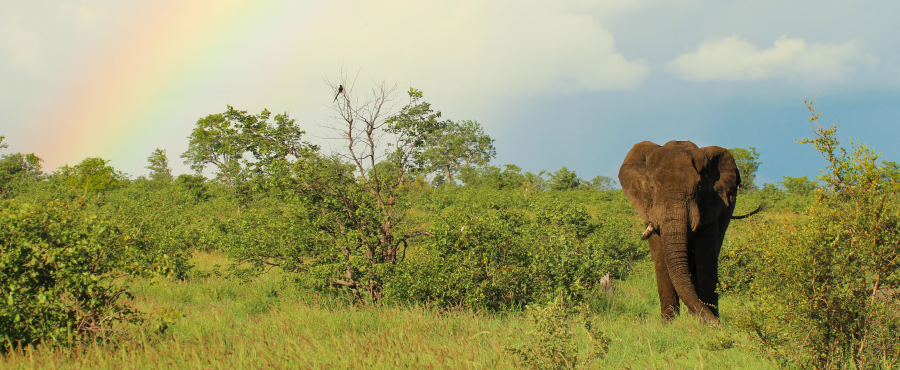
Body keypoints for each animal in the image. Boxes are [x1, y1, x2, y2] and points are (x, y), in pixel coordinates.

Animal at [624, 140, 740, 326]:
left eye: (699, 188)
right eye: (652, 187)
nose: (716, 323)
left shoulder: (710, 204)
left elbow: (706, 258)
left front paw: (709, 322)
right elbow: (661, 258)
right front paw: (667, 324)